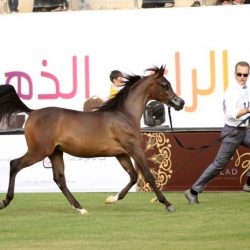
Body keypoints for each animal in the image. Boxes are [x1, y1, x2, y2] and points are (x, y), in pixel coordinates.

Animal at [0, 65, 184, 214]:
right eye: (165, 85)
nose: (180, 102)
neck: (124, 116)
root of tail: (32, 112)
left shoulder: (121, 154)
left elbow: (132, 176)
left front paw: (111, 199)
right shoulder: (134, 149)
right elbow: (148, 176)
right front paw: (168, 204)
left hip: (55, 153)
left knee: (60, 179)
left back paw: (79, 208)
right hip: (38, 151)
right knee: (14, 164)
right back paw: (5, 201)